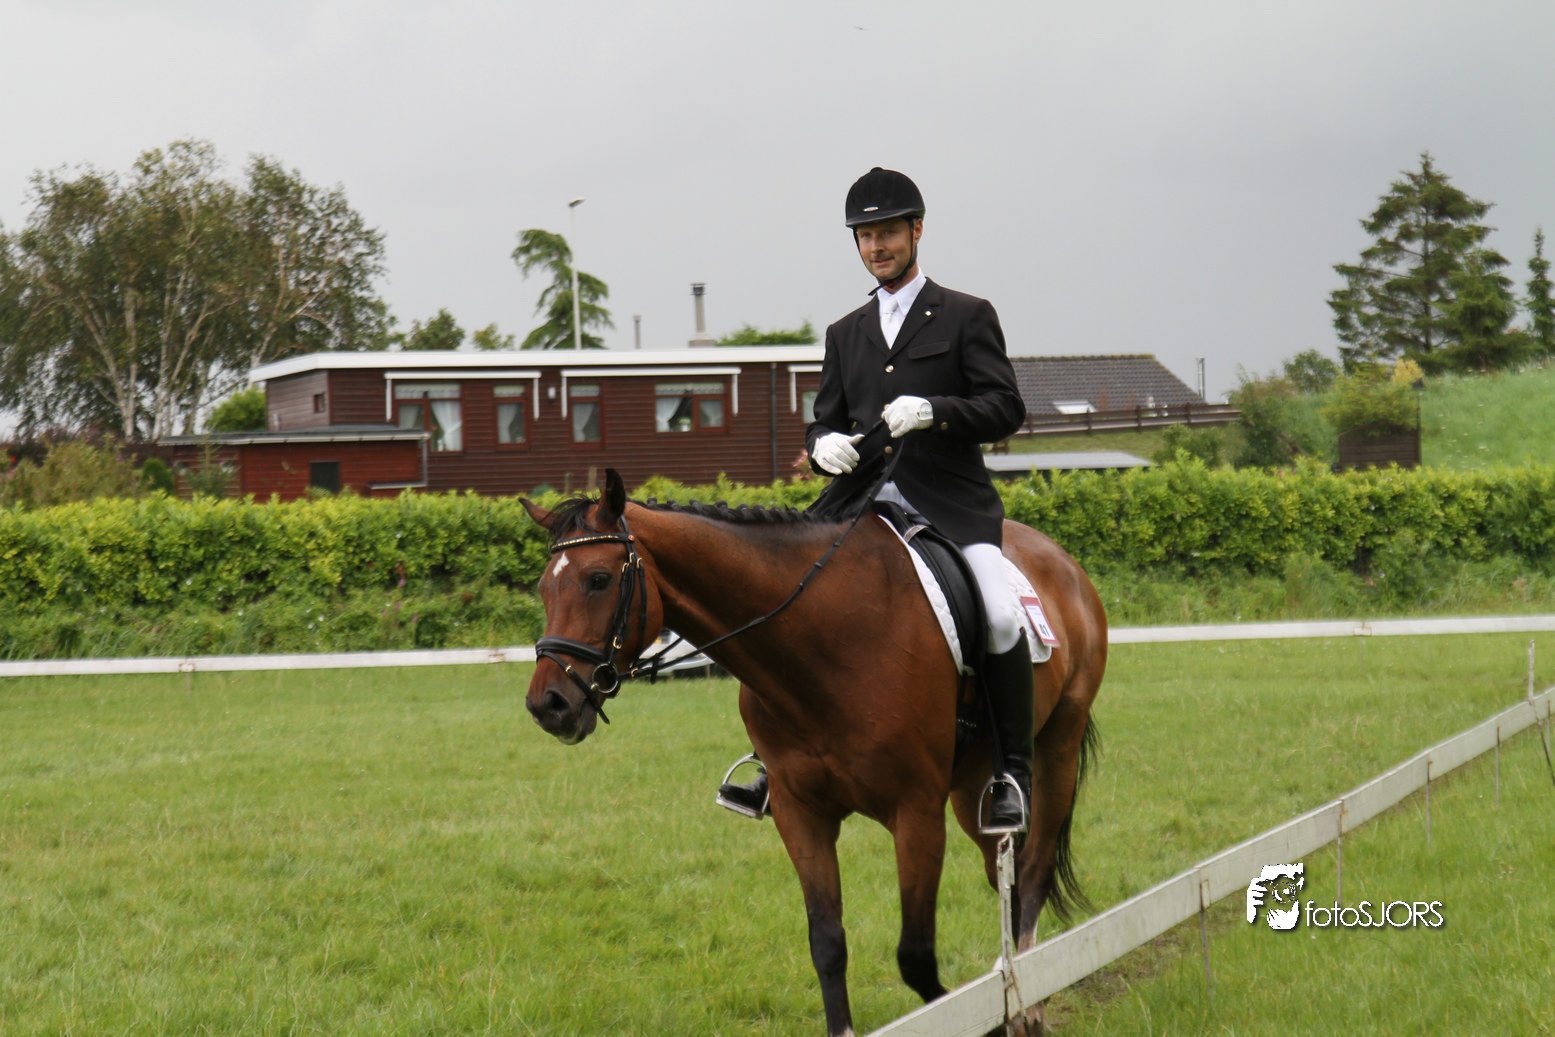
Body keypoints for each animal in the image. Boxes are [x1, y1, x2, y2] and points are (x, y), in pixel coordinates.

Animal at [522, 467, 1107, 1037]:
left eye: (599, 580)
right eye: (544, 587)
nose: (547, 705)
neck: (823, 644)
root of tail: (1060, 558)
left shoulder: (916, 814)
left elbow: (916, 957)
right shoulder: (801, 813)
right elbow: (827, 943)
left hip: (1056, 749)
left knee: (1031, 872)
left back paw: (1030, 1006)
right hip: (973, 786)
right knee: (1003, 875)